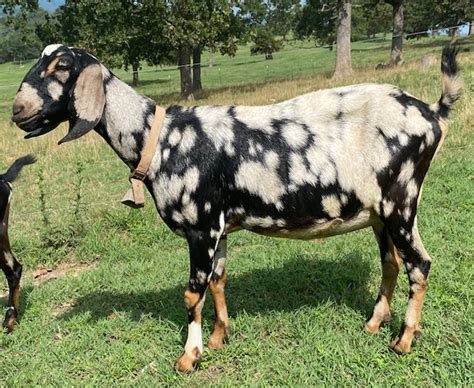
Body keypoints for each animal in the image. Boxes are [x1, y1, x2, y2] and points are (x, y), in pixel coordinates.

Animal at [12, 44, 462, 372]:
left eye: (61, 65)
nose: (17, 110)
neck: (159, 140)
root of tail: (433, 113)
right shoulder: (220, 228)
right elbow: (218, 281)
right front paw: (218, 337)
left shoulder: (201, 226)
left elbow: (192, 292)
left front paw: (189, 356)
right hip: (380, 213)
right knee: (391, 261)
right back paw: (373, 323)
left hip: (401, 201)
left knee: (419, 263)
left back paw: (403, 340)